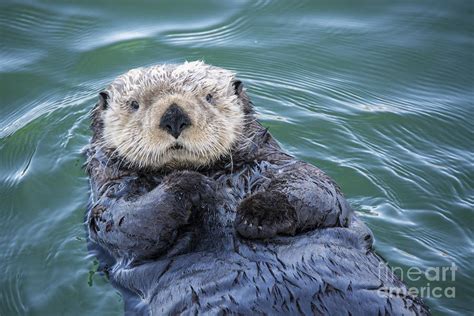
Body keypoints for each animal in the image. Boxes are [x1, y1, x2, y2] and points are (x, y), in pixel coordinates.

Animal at [85, 60, 430, 314]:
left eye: (209, 97)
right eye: (134, 105)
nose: (174, 116)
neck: (214, 170)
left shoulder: (280, 164)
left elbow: (316, 191)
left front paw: (255, 215)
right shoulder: (109, 200)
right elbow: (129, 225)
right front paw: (196, 185)